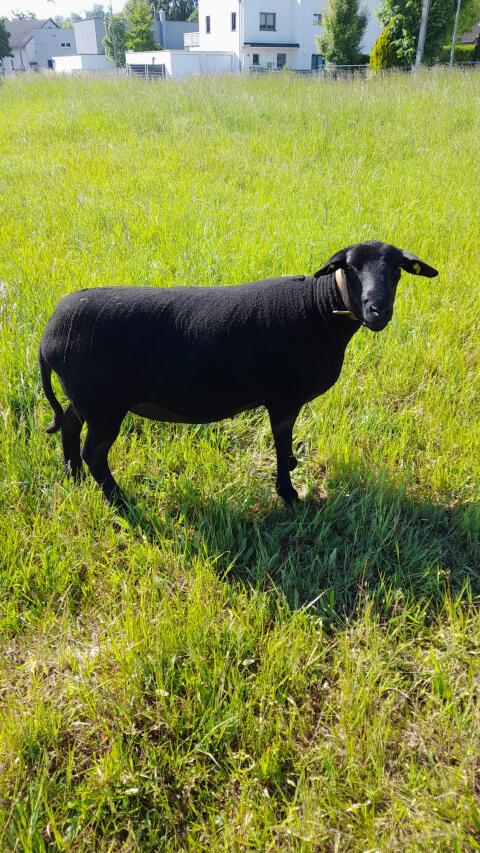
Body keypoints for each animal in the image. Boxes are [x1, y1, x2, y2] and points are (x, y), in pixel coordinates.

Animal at [39, 240, 438, 506]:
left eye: (396, 269)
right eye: (350, 267)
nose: (378, 310)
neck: (319, 309)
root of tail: (47, 335)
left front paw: (291, 471)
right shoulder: (283, 397)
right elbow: (280, 442)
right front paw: (289, 494)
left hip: (87, 397)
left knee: (70, 425)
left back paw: (73, 476)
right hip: (104, 404)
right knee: (95, 452)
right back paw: (119, 501)